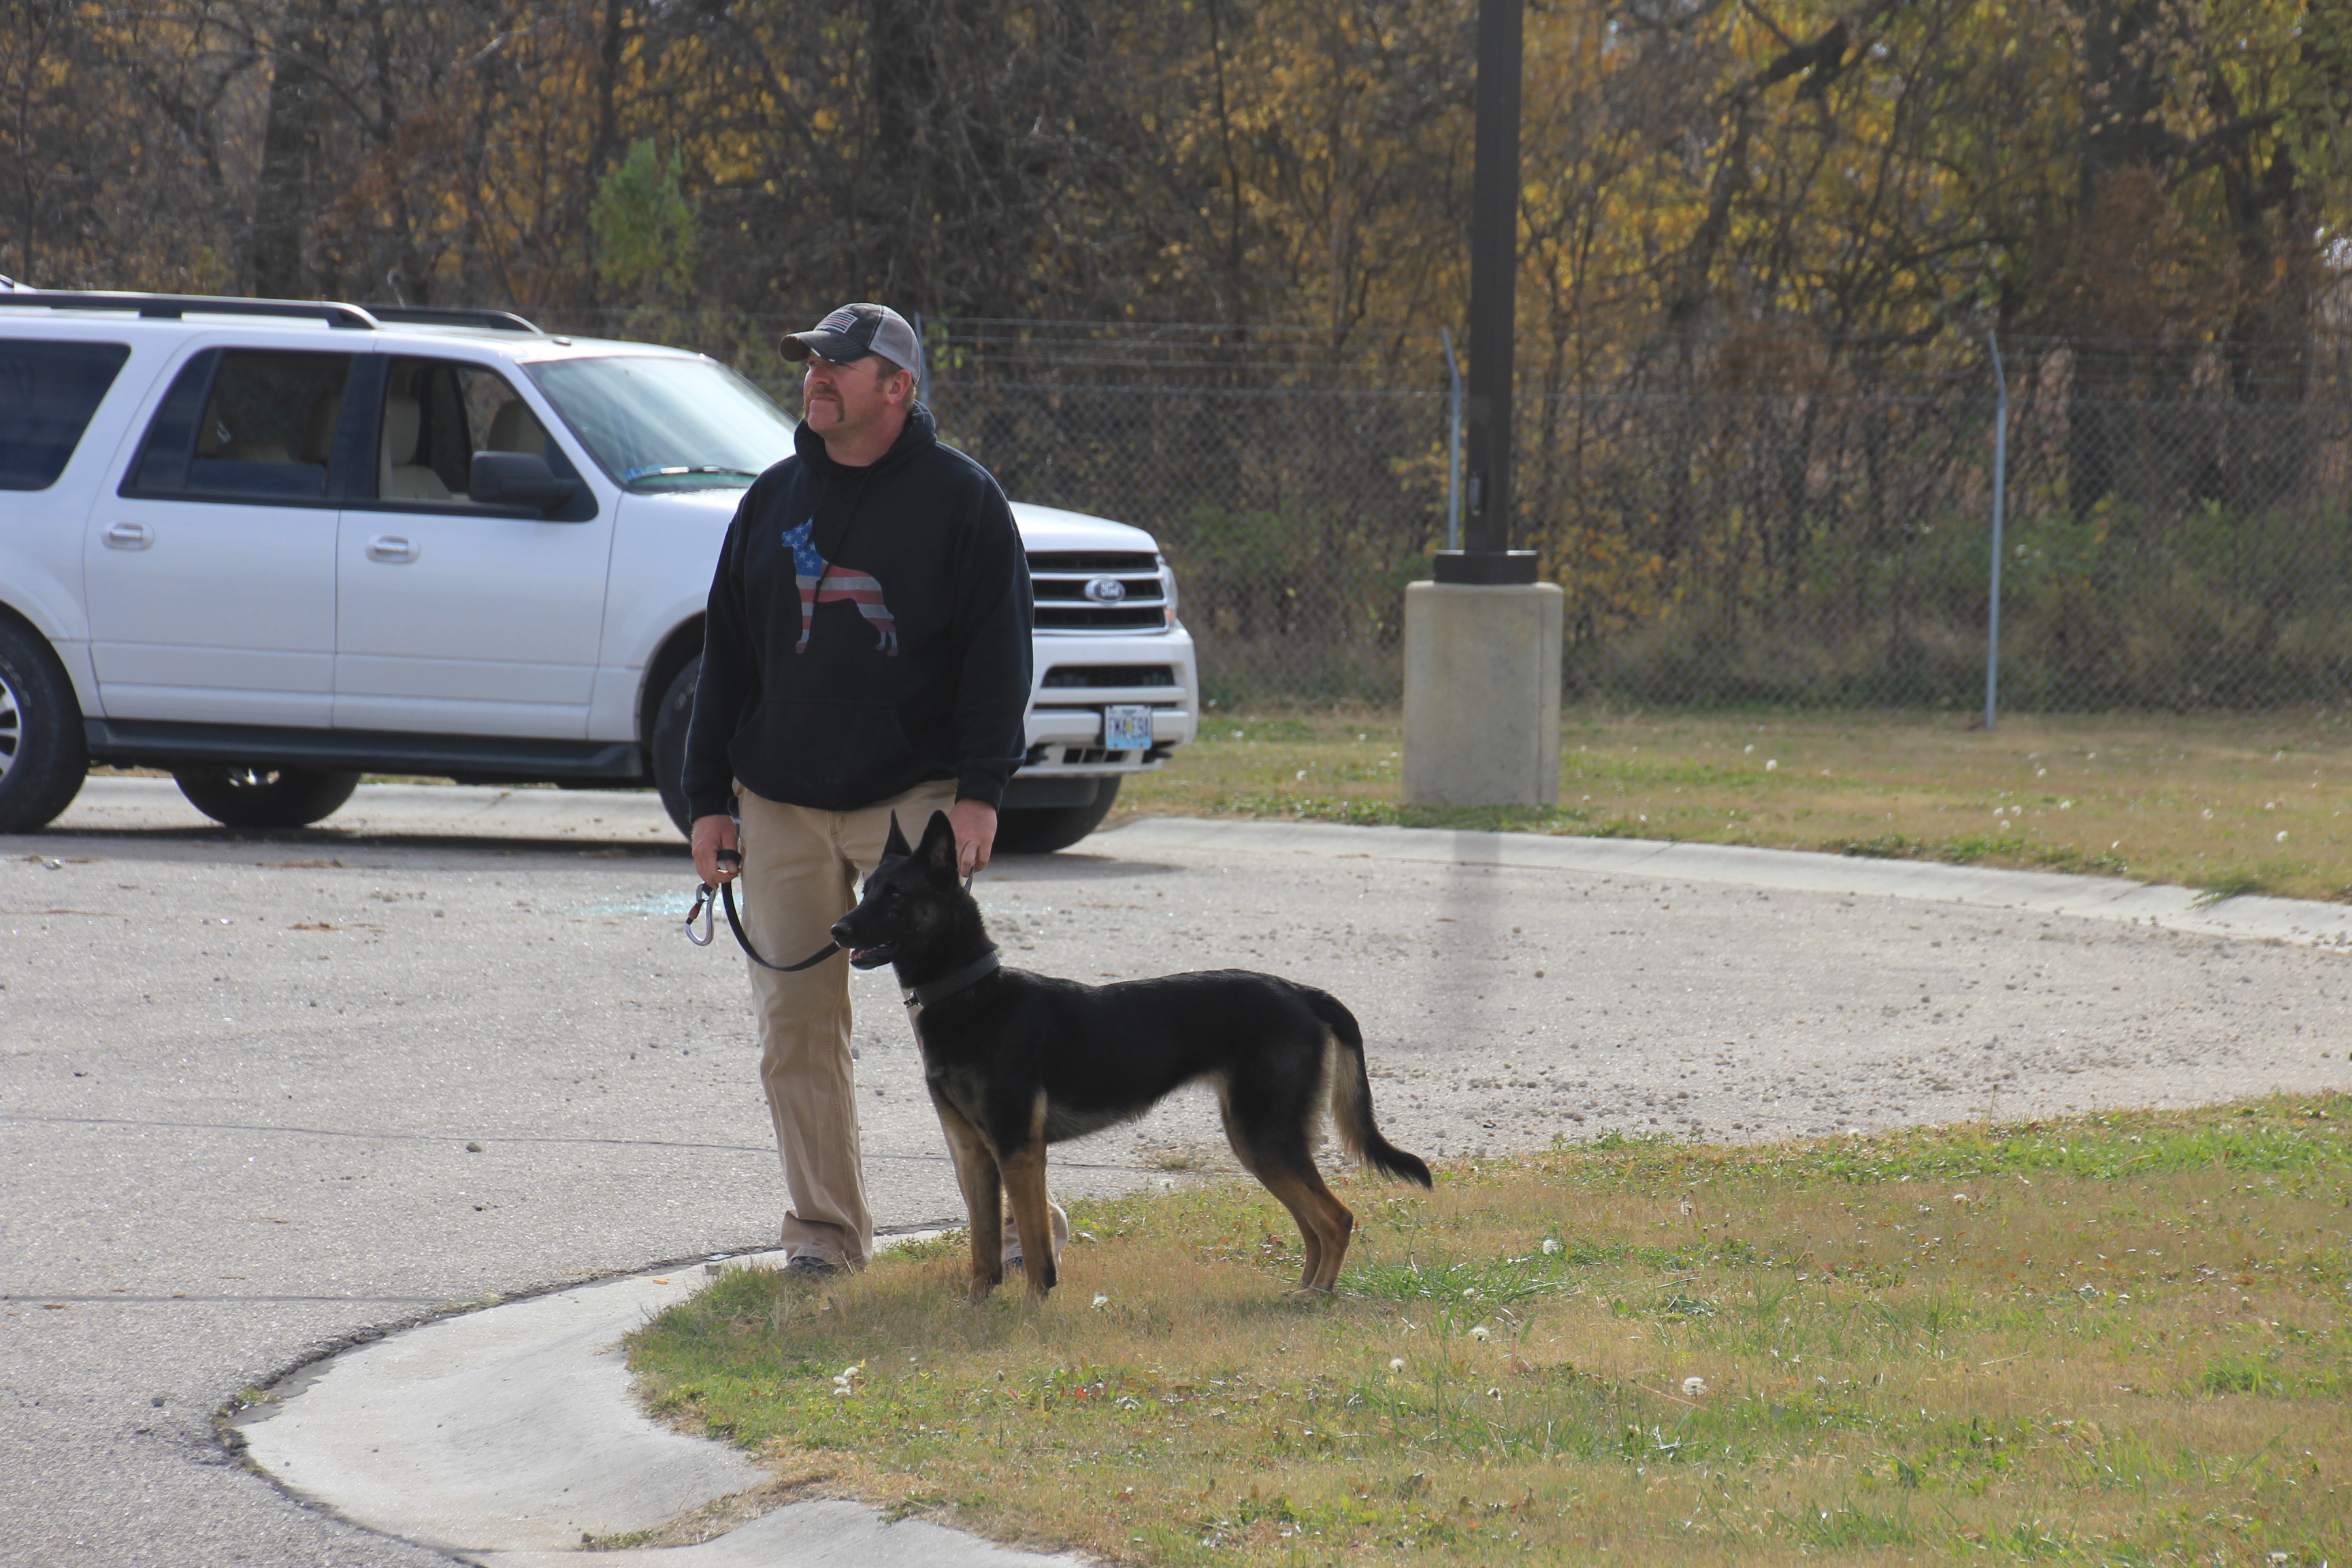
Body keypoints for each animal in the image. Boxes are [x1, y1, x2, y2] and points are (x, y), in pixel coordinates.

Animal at [829, 810, 1432, 1302]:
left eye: (896, 896)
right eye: (867, 888)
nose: (837, 930)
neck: (971, 993)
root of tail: (1302, 992)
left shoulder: (1019, 1152)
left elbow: (1033, 1245)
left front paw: (1034, 1308)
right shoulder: (974, 1155)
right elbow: (982, 1250)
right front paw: (978, 1307)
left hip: (1264, 1137)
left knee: (1336, 1218)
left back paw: (1316, 1298)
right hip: (1261, 1144)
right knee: (1313, 1223)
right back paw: (1303, 1289)